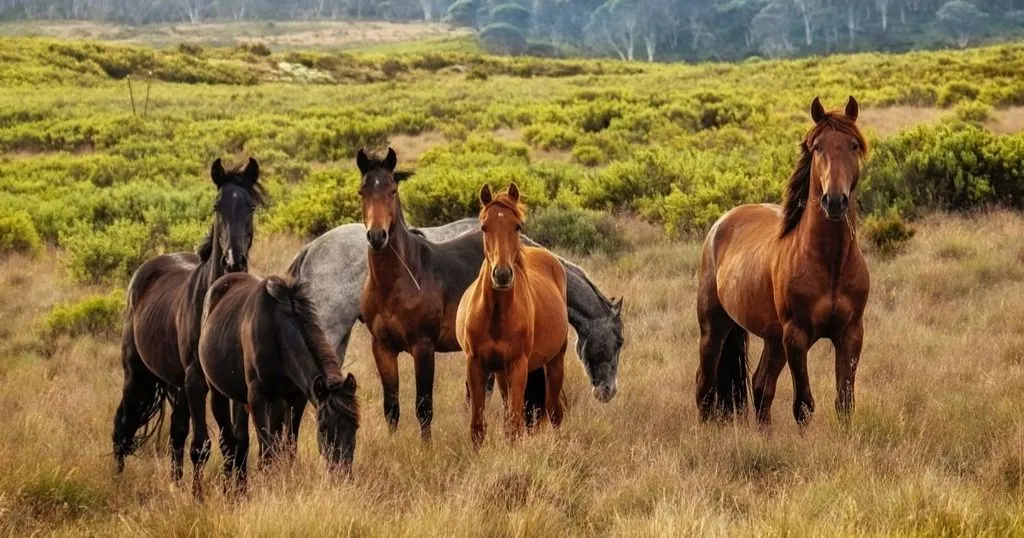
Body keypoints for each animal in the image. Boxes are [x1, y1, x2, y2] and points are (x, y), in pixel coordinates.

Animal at [112, 154, 264, 477]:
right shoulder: (195, 381)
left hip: (176, 385)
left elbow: (238, 445)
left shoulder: (232, 385)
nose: (233, 261)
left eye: (251, 206)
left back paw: (176, 482)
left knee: (176, 434)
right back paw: (117, 479)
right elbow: (202, 446)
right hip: (137, 374)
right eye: (217, 206)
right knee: (123, 426)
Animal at [193, 274, 358, 498]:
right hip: (218, 393)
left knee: (242, 442)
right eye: (323, 429)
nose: (342, 474)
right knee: (227, 441)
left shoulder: (295, 398)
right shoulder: (258, 397)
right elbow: (267, 451)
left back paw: (241, 489)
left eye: (355, 427)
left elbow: (287, 447)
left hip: (250, 400)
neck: (277, 332)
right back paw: (230, 492)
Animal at [456, 184, 569, 448]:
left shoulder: (518, 366)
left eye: (517, 225)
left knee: (554, 411)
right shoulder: (476, 365)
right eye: (484, 227)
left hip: (555, 361)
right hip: (500, 373)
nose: (502, 275)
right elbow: (478, 426)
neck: (496, 316)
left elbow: (514, 425)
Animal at [692, 94, 868, 426]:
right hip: (714, 327)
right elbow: (803, 405)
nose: (834, 201)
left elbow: (845, 402)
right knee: (704, 387)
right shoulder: (796, 337)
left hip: (773, 339)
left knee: (761, 387)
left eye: (853, 145)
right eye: (817, 147)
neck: (831, 263)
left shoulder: (850, 334)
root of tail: (721, 223)